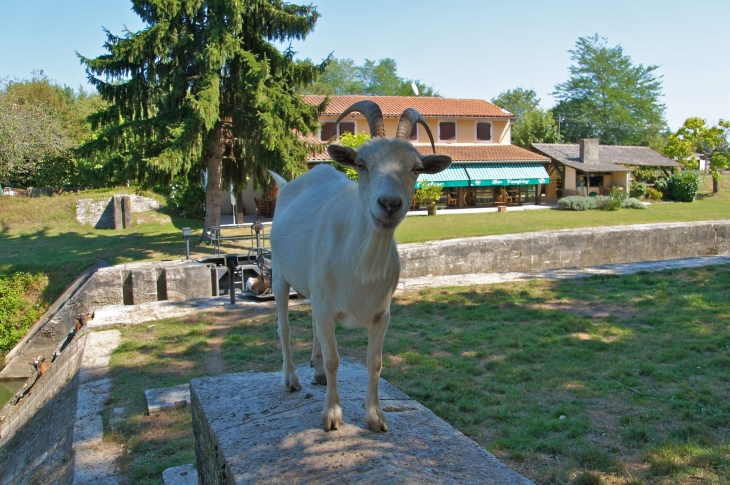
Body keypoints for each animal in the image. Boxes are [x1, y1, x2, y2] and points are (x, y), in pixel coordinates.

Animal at [268, 100, 450, 430]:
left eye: (416, 168)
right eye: (362, 164)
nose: (389, 203)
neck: (360, 269)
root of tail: (288, 185)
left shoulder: (381, 313)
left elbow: (374, 362)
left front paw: (375, 416)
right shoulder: (327, 305)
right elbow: (334, 360)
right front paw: (332, 415)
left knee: (312, 324)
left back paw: (316, 373)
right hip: (279, 273)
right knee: (284, 326)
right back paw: (291, 379)